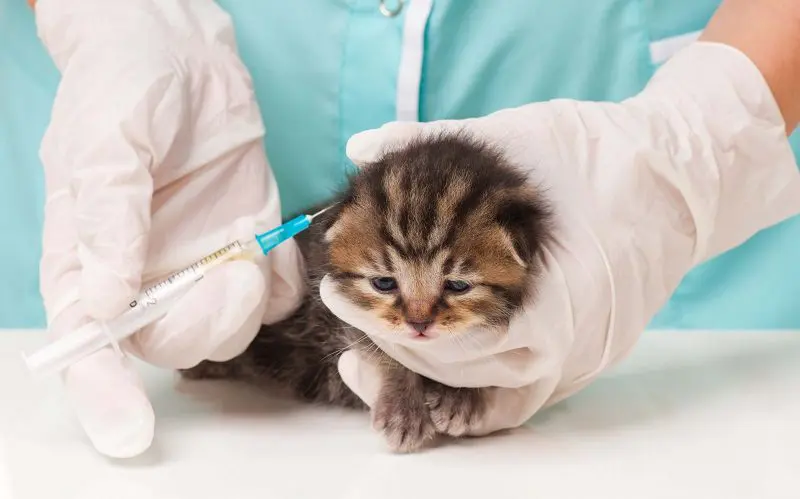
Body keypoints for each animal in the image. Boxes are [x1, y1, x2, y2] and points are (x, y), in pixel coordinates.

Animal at [183, 134, 552, 454]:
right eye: (384, 283)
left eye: (458, 285)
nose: (419, 323)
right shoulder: (338, 310)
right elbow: (386, 349)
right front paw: (403, 410)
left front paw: (459, 395)